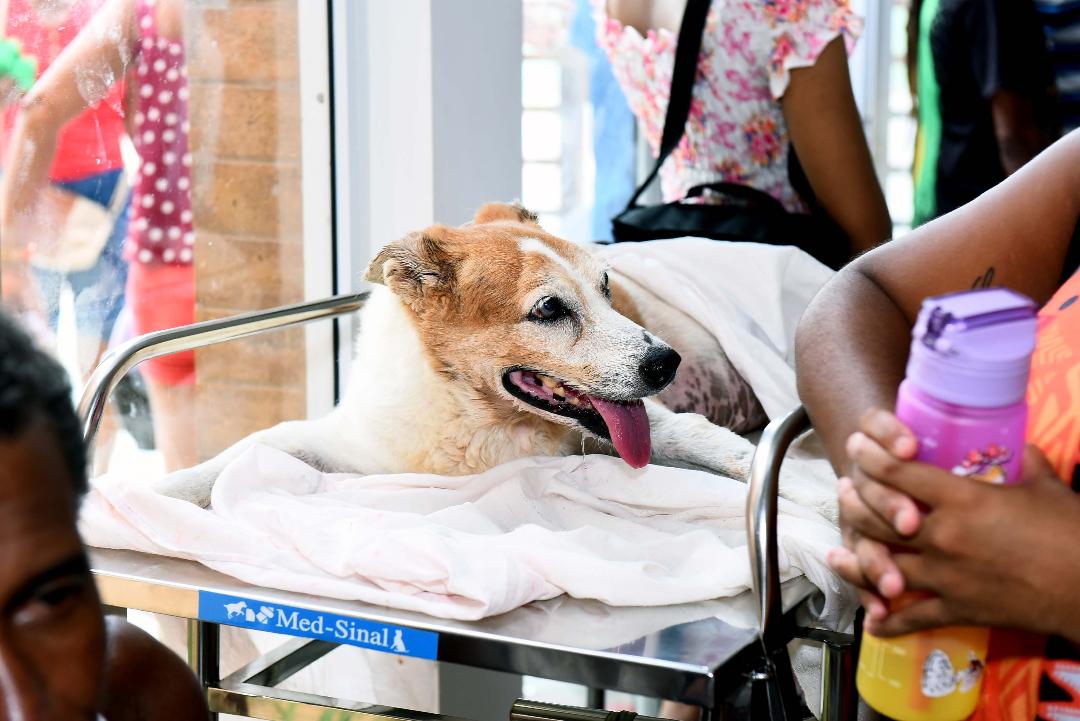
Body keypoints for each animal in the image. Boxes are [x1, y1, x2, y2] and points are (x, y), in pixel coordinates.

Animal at [157, 202, 768, 507]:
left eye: (606, 287)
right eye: (549, 309)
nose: (666, 363)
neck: (473, 417)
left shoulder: (658, 425)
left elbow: (734, 454)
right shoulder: (354, 444)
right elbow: (255, 446)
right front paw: (161, 492)